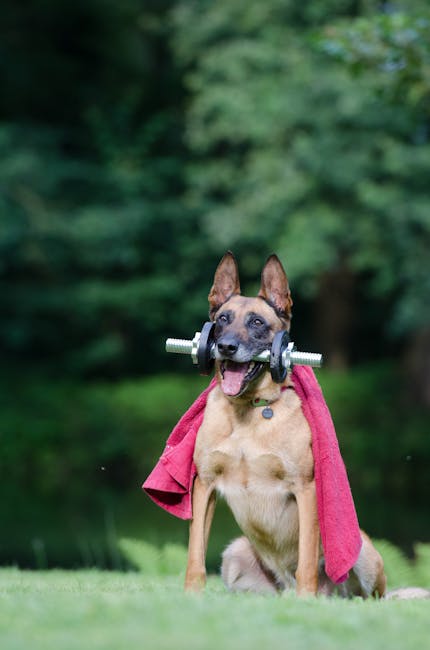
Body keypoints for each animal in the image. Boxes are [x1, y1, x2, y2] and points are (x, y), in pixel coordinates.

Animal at [183, 251, 384, 596]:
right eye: (223, 319)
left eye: (257, 322)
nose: (226, 346)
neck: (249, 413)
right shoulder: (204, 485)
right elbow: (195, 555)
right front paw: (190, 597)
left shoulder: (305, 489)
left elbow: (306, 560)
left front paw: (307, 600)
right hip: (235, 553)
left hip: (362, 554)